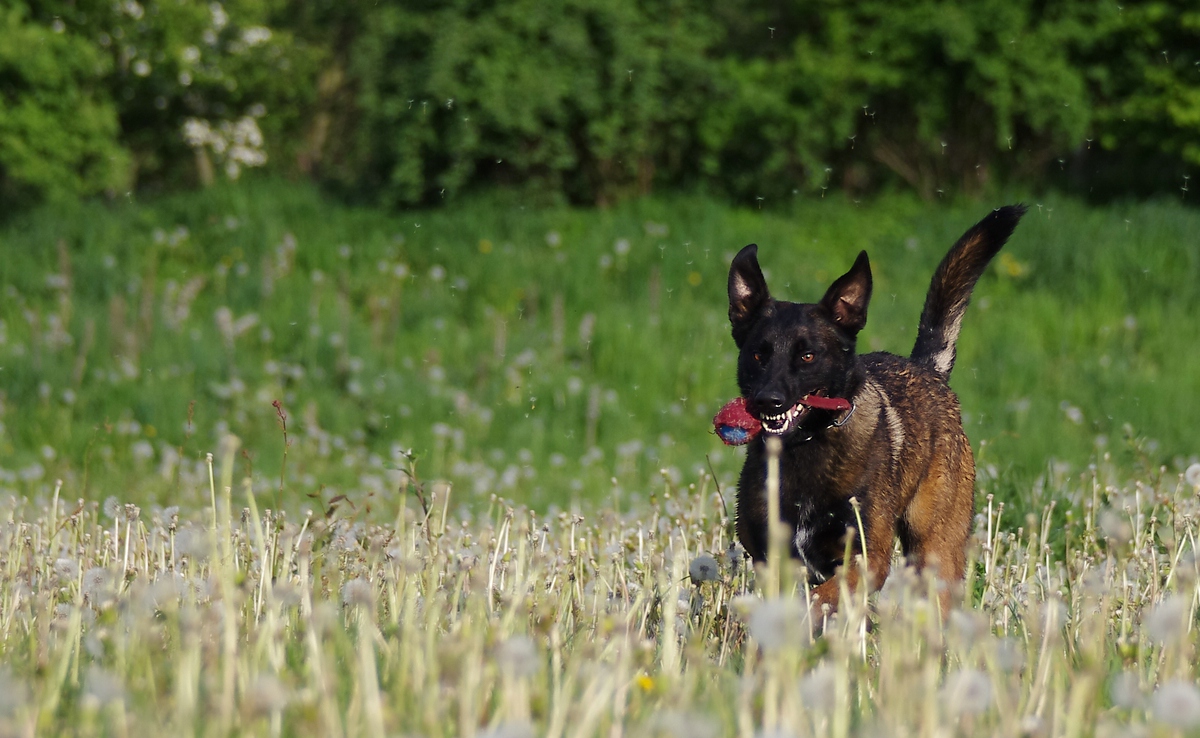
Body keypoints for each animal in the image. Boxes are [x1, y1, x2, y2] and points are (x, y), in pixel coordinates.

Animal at [715, 207, 1027, 619]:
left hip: (936, 552)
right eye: (757, 354)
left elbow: (819, 600)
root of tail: (927, 370)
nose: (769, 401)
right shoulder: (772, 561)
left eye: (808, 355)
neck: (807, 447)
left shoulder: (867, 561)